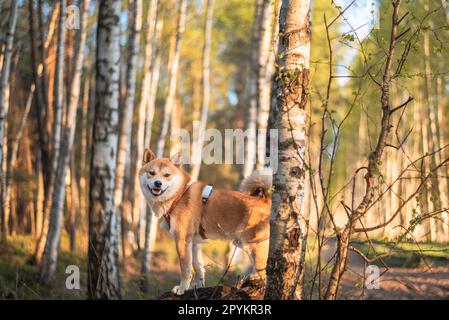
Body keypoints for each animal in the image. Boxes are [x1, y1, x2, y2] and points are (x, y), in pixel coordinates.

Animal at [138, 149, 272, 296]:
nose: (158, 183)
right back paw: (252, 276)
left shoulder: (182, 241)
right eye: (151, 173)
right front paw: (197, 286)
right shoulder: (193, 243)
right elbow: (198, 268)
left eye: (167, 175)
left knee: (265, 273)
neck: (178, 196)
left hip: (254, 246)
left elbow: (185, 270)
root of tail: (265, 201)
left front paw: (182, 288)